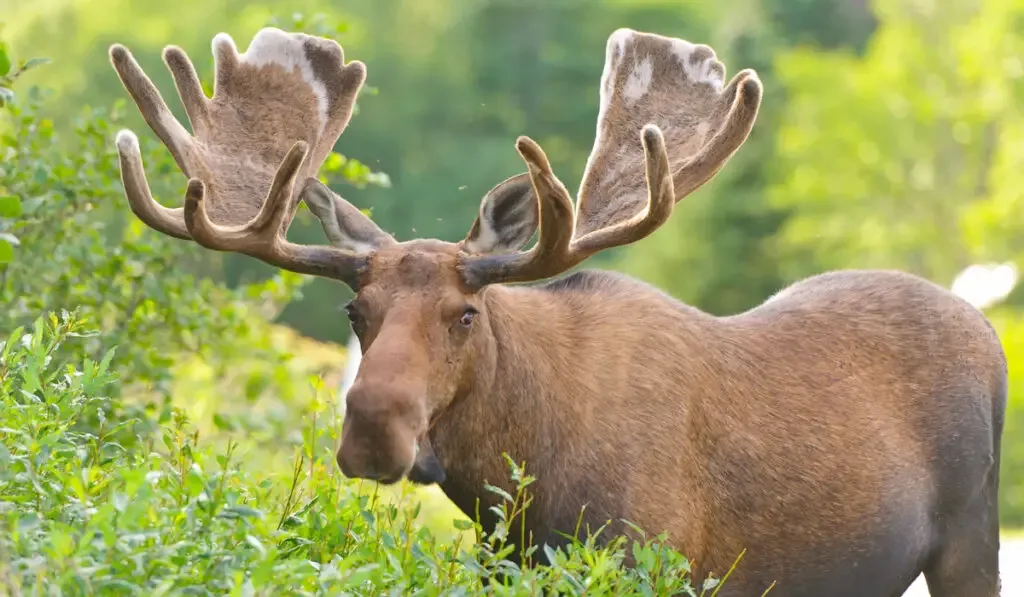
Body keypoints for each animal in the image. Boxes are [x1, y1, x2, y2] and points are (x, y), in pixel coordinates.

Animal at [108, 25, 1003, 593]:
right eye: (354, 311)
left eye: (467, 314)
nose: (371, 429)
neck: (518, 483)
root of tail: (987, 327)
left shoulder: (654, 559)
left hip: (972, 536)